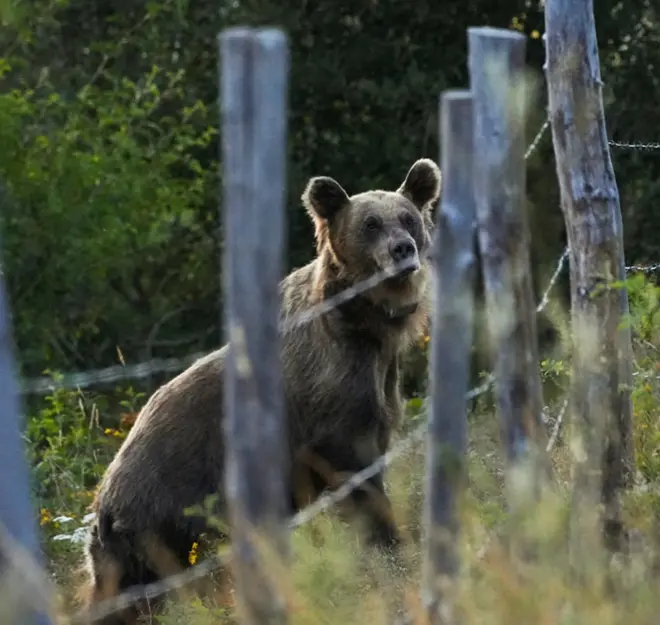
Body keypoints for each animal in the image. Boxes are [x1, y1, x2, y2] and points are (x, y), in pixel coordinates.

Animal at [77, 157, 440, 624]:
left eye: (408, 217)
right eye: (370, 224)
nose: (403, 250)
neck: (365, 327)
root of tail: (102, 500)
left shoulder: (377, 382)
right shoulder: (330, 395)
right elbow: (355, 471)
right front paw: (389, 540)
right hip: (163, 516)